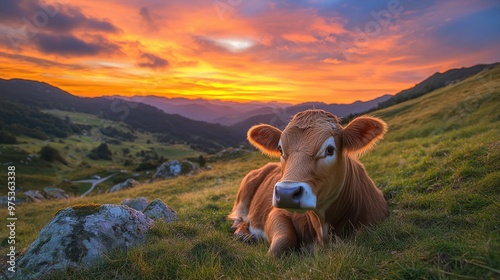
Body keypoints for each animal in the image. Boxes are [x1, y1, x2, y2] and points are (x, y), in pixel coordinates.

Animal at [229, 109, 388, 256]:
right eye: (280, 149)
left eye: (330, 150)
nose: (286, 193)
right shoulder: (276, 213)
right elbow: (284, 240)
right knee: (239, 217)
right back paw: (242, 233)